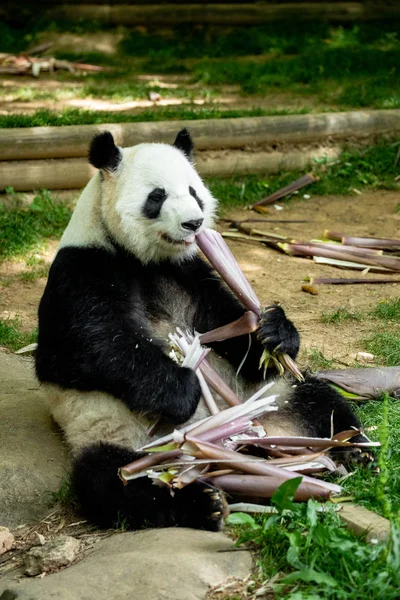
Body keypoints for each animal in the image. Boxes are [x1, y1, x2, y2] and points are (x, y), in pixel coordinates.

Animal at [35, 129, 368, 532]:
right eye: (157, 196)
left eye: (194, 191)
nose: (194, 224)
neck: (145, 259)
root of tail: (245, 443)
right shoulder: (82, 268)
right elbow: (83, 350)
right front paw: (182, 389)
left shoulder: (191, 272)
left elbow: (231, 329)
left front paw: (274, 332)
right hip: (123, 436)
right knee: (113, 480)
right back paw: (204, 502)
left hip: (273, 396)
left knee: (320, 400)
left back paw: (354, 450)